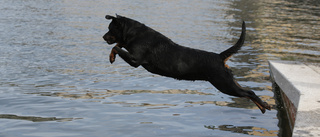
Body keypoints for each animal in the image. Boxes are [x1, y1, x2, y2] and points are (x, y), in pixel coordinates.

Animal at [104, 15, 272, 113]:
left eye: (110, 28)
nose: (103, 37)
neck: (136, 34)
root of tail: (219, 57)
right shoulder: (129, 49)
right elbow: (119, 44)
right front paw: (111, 56)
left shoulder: (135, 60)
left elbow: (117, 47)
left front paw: (112, 56)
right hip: (229, 81)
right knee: (249, 92)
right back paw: (263, 106)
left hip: (224, 85)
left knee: (249, 93)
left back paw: (264, 106)